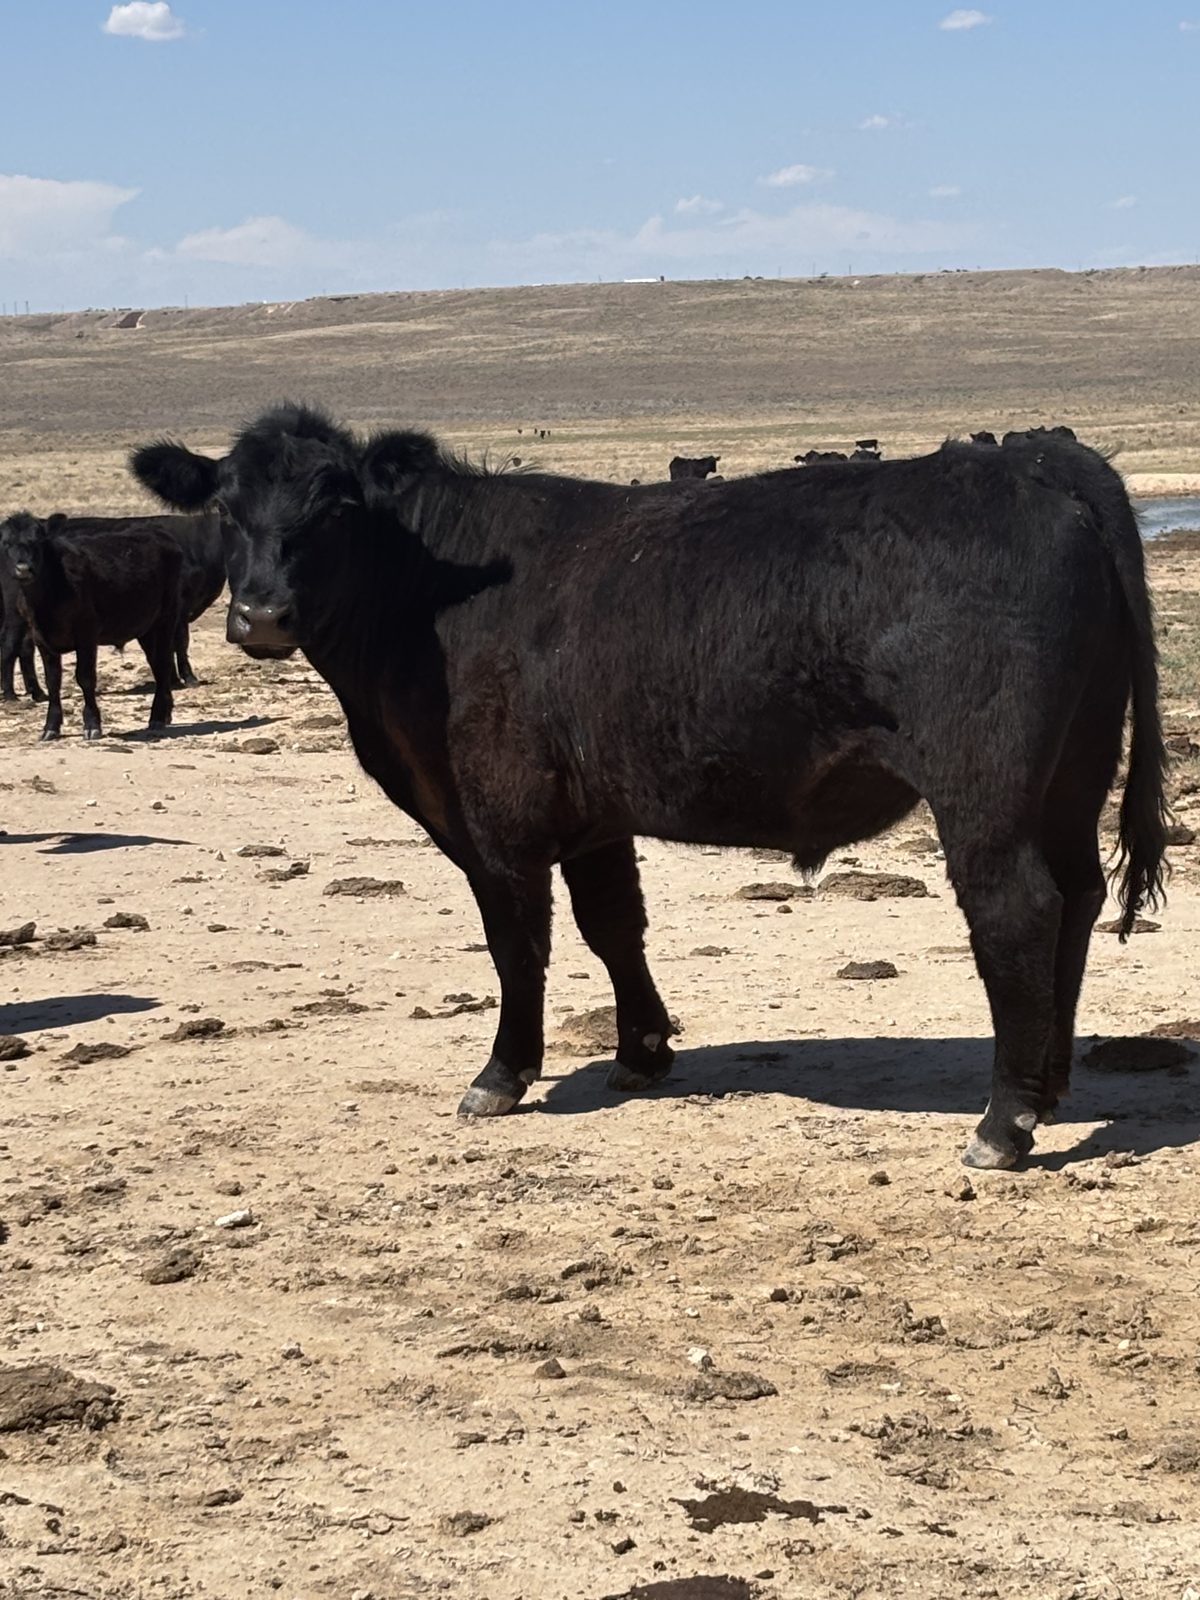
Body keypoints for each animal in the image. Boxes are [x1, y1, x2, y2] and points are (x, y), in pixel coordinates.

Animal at [0, 512, 182, 739]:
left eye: (38, 541)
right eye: (6, 543)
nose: (23, 569)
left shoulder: (86, 633)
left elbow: (85, 677)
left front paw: (92, 724)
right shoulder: (41, 638)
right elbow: (53, 682)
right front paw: (51, 727)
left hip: (167, 618)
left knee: (164, 663)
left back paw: (157, 717)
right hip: (147, 628)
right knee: (157, 665)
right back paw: (165, 714)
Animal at [131, 404, 1168, 1171]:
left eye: (335, 510)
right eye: (225, 507)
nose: (261, 614)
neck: (430, 597)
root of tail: (1040, 462)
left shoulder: (495, 819)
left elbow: (519, 946)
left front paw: (502, 1074)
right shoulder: (591, 816)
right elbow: (612, 927)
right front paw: (640, 1053)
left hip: (986, 791)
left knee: (1018, 912)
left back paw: (1002, 1122)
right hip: (1074, 771)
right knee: (1078, 897)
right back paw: (1051, 1086)